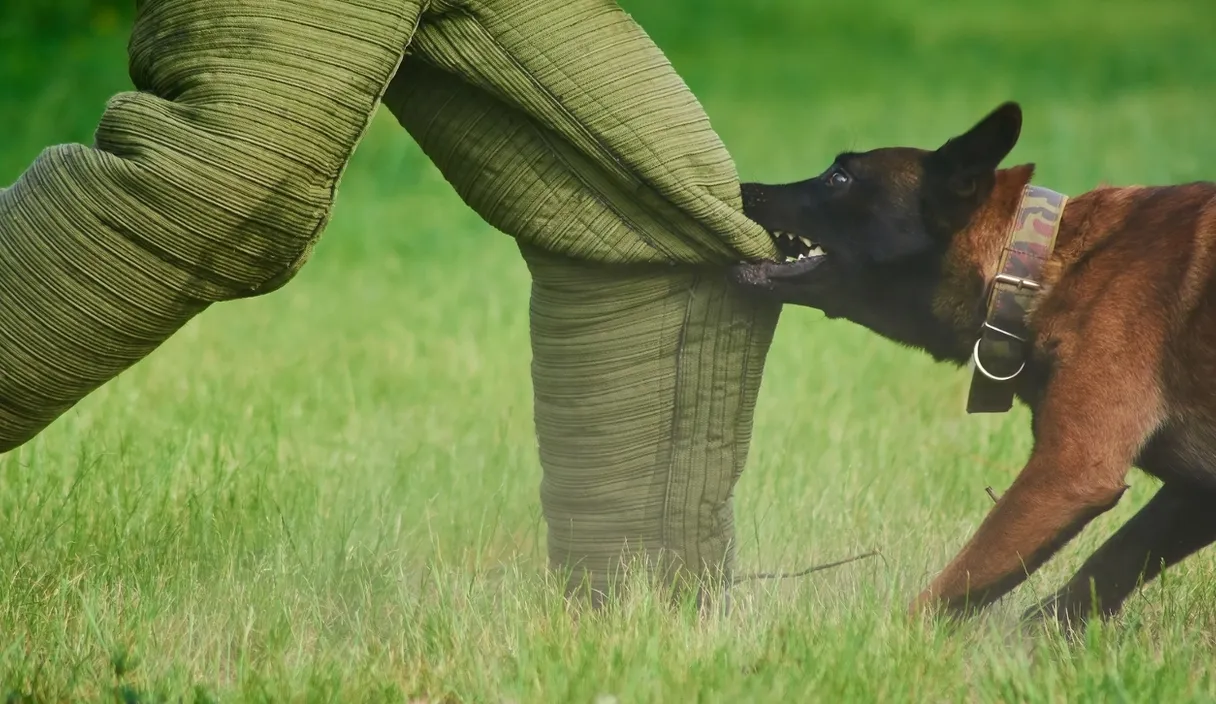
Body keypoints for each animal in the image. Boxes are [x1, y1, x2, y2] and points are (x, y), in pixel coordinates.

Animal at [729, 102, 1216, 632]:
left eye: (839, 177)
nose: (741, 189)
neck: (1033, 266)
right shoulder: (1194, 494)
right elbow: (1107, 566)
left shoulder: (1068, 471)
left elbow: (953, 587)